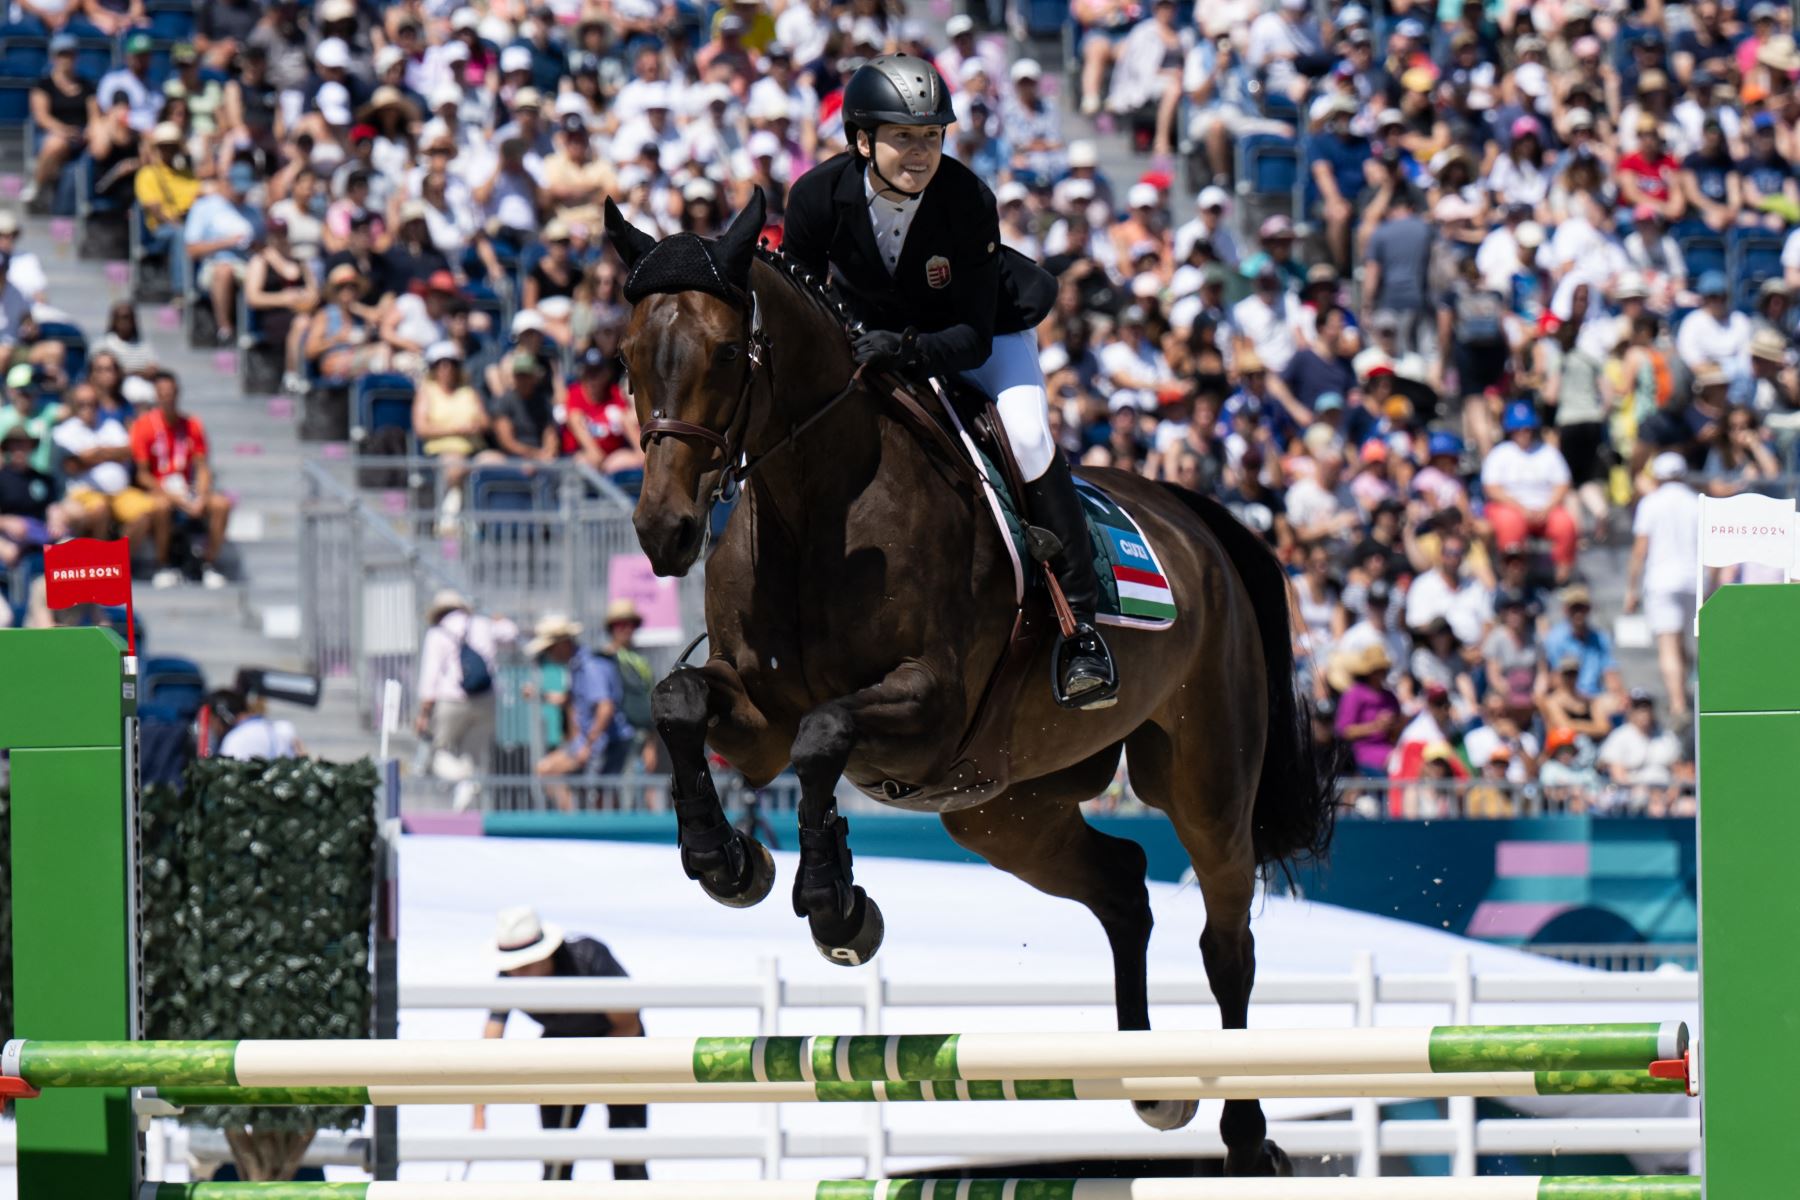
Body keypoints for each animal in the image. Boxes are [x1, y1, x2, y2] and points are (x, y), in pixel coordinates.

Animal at [604, 192, 1339, 1180]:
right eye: (627, 356)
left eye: (727, 353)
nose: (665, 531)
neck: (817, 503)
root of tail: (1199, 522)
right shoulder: (756, 717)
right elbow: (680, 703)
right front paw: (729, 863)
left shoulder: (930, 706)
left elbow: (826, 735)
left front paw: (837, 908)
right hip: (1002, 808)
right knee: (1123, 883)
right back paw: (1149, 1084)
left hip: (1203, 781)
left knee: (1227, 941)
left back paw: (1249, 1135)